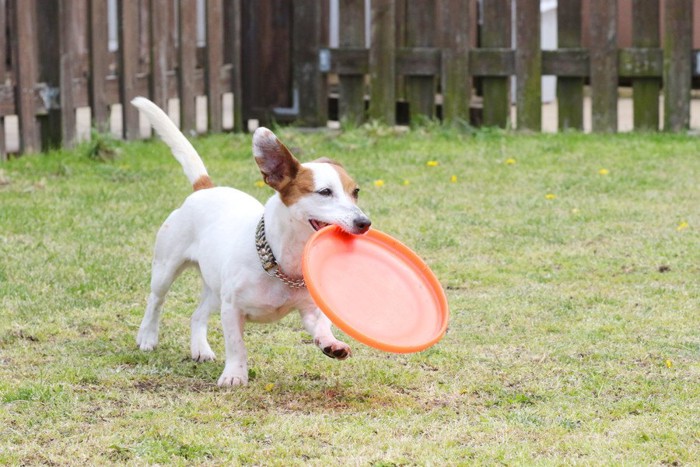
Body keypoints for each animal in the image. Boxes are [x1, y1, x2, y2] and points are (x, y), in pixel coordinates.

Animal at [131, 97, 372, 386]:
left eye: (355, 192)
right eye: (324, 192)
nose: (364, 223)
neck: (283, 262)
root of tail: (205, 188)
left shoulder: (309, 309)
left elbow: (322, 325)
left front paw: (331, 343)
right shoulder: (232, 309)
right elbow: (237, 345)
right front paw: (235, 375)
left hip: (215, 288)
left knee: (197, 315)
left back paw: (200, 348)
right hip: (167, 268)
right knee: (156, 300)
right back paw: (147, 336)